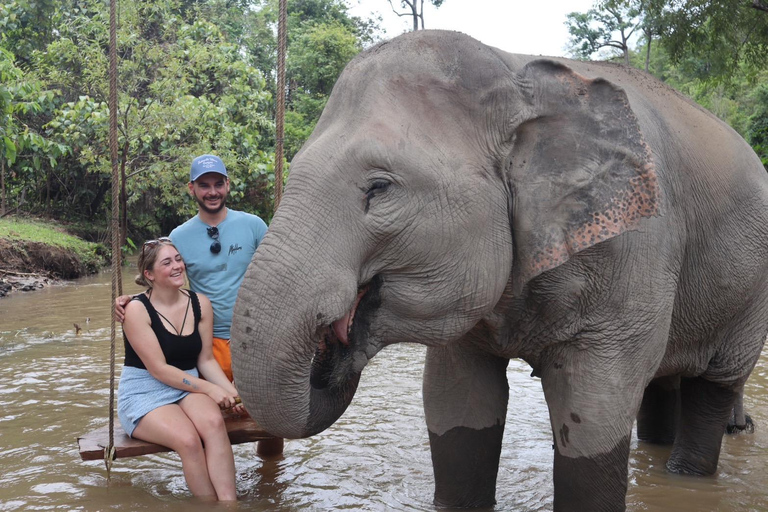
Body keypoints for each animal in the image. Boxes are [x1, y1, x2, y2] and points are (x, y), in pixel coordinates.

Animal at [231, 30, 768, 510]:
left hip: (750, 294)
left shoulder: (635, 248)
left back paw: (692, 468)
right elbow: (456, 402)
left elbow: (594, 410)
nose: (332, 344)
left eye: (379, 188)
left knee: (713, 386)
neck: (516, 73)